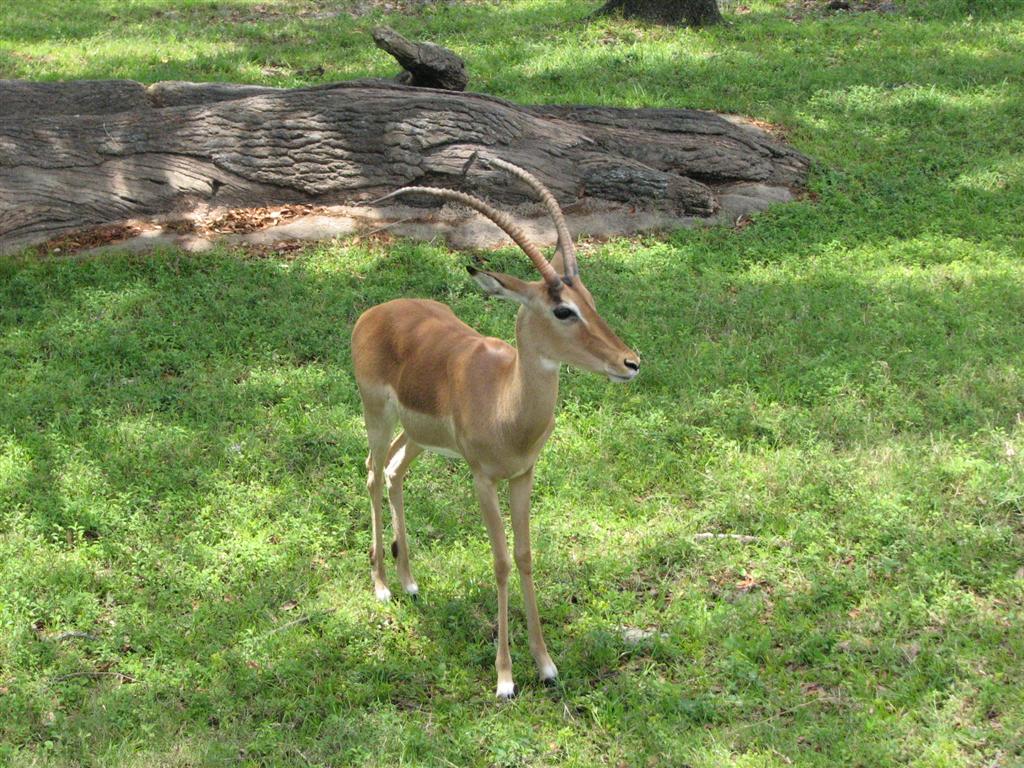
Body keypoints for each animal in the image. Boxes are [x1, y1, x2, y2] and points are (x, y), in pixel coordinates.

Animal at [351, 157, 640, 699]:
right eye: (562, 310)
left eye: (589, 299)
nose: (630, 362)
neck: (507, 404)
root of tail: (375, 312)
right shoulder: (483, 479)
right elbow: (501, 561)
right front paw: (505, 678)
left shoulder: (523, 475)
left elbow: (525, 556)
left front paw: (545, 664)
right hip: (376, 414)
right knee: (374, 472)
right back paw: (381, 586)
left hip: (418, 437)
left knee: (396, 471)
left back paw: (409, 582)